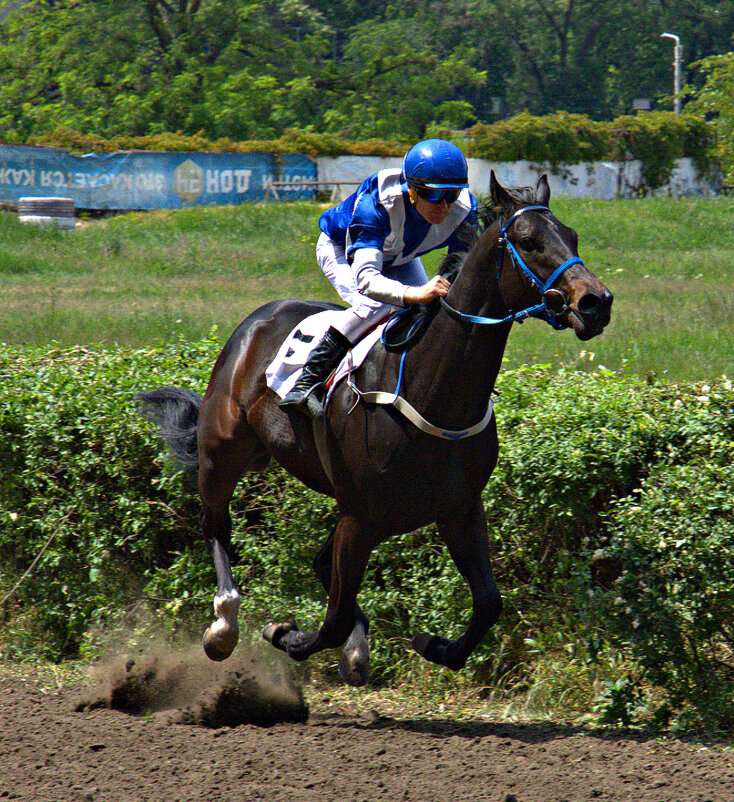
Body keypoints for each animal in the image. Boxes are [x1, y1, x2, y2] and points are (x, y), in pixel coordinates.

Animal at [138, 172, 616, 684]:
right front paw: (285, 635)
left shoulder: (458, 510)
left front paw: (435, 645)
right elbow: (332, 619)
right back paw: (224, 626)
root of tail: (256, 320)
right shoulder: (360, 518)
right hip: (222, 450)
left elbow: (488, 603)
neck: (435, 392)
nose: (596, 303)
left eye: (573, 237)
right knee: (216, 525)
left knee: (320, 565)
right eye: (528, 242)